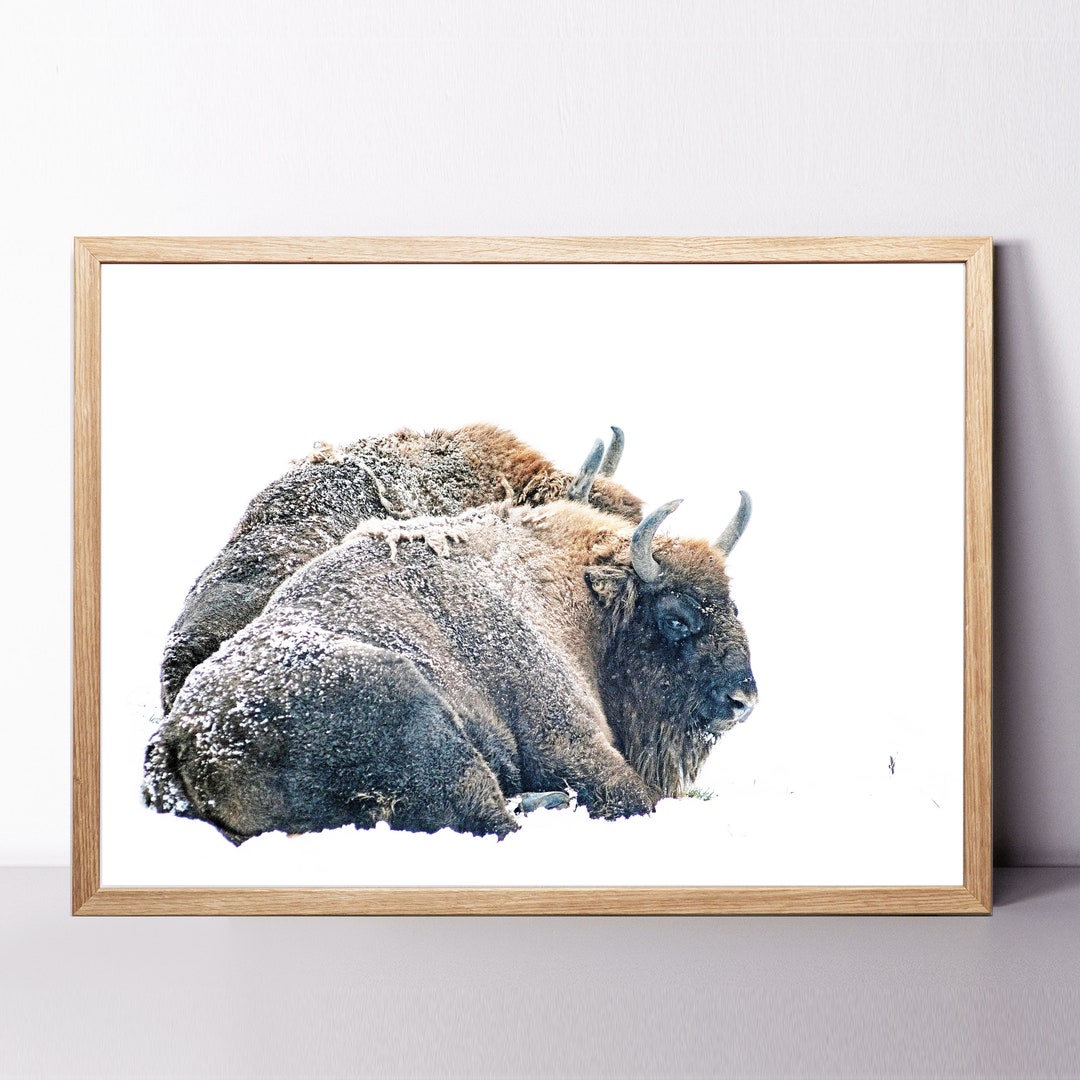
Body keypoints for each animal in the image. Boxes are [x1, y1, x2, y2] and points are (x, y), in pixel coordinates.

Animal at [144, 477, 757, 843]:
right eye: (676, 617)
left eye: (732, 603)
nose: (743, 700)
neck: (582, 601)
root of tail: (178, 733)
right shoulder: (574, 747)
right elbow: (639, 798)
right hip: (424, 718)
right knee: (496, 818)